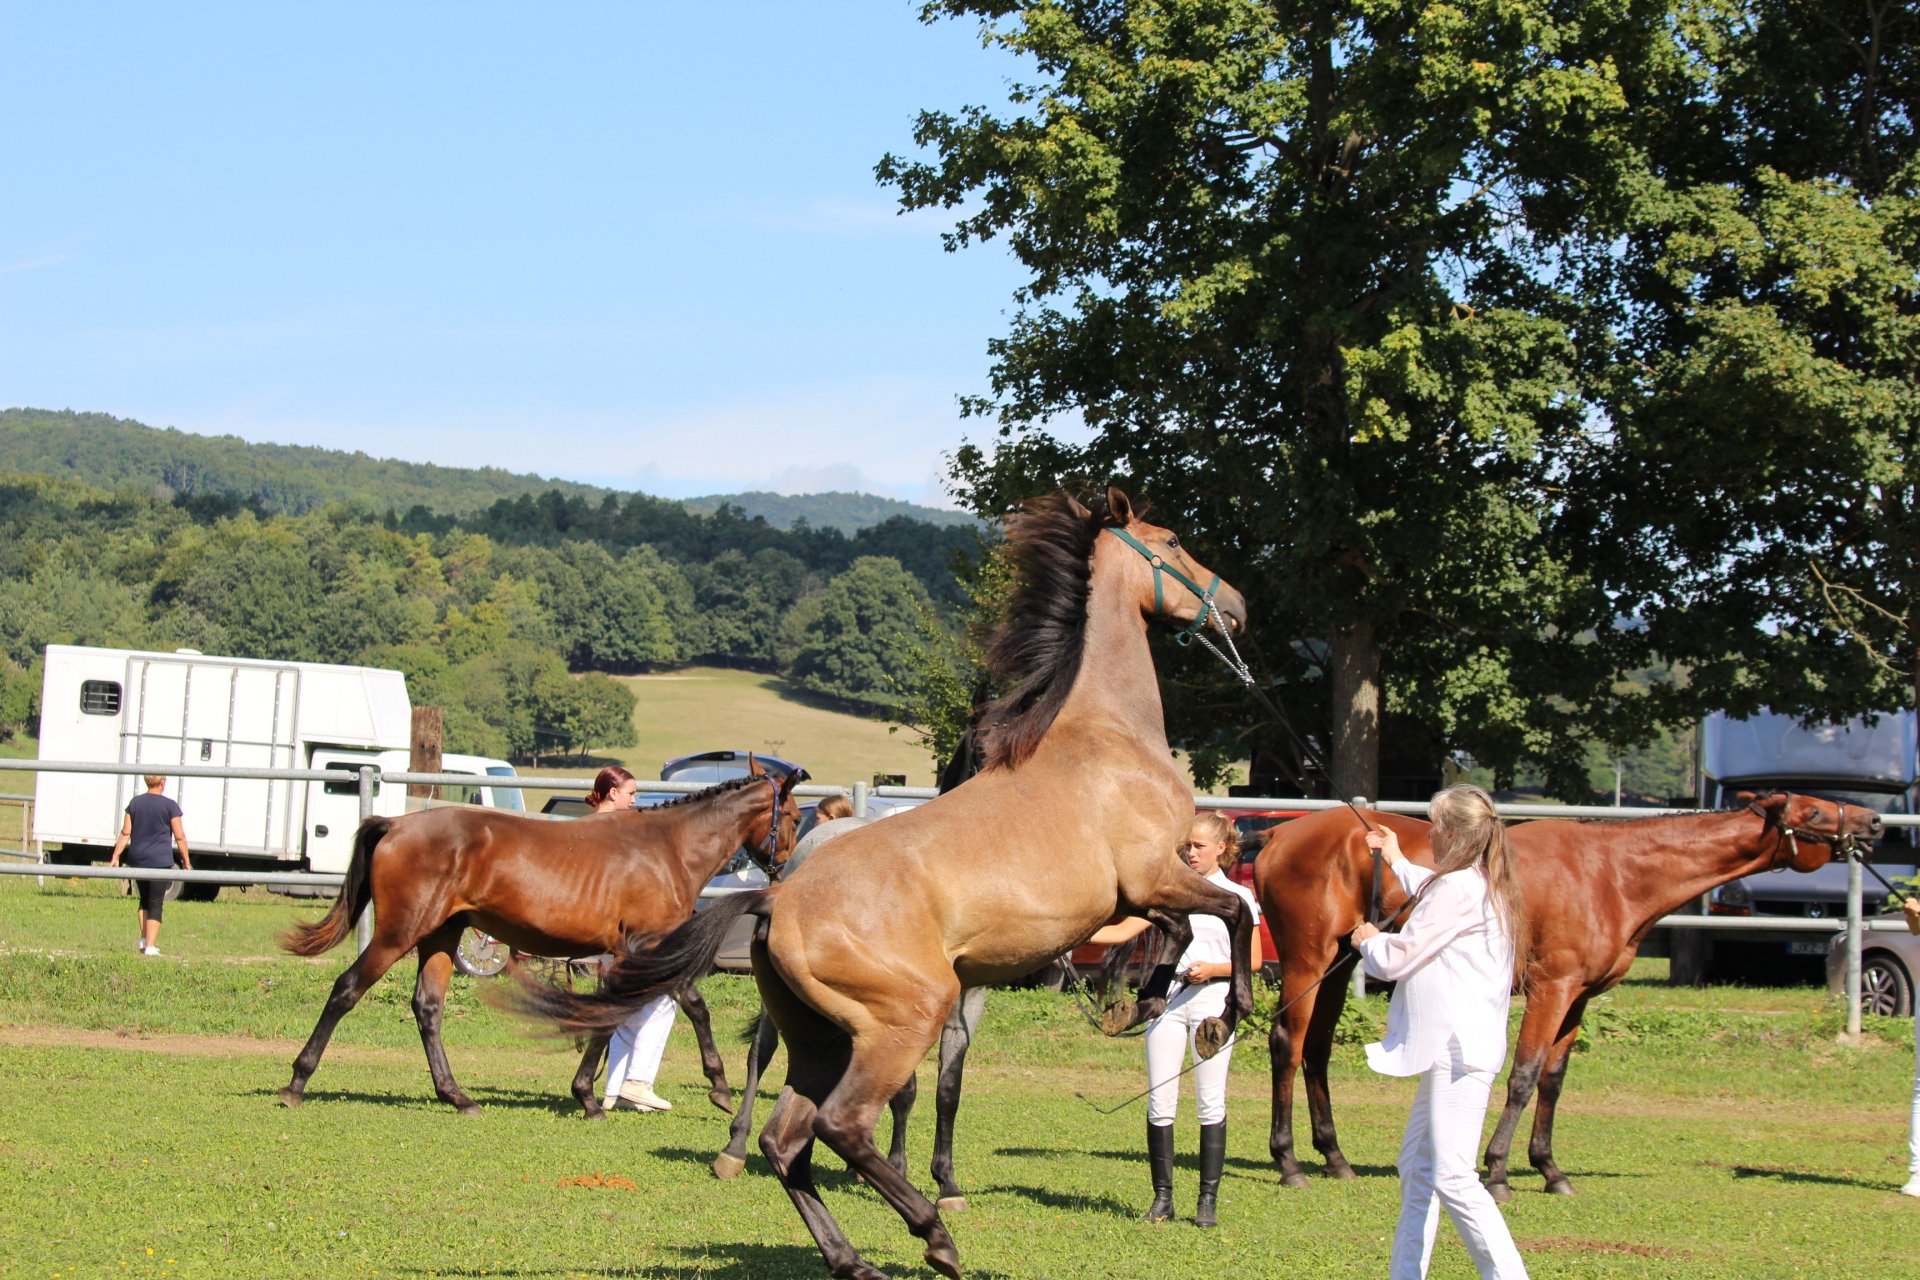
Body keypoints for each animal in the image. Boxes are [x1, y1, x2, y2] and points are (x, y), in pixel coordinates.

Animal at [278, 767, 802, 1113]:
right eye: (796, 817)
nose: (786, 872)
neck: (668, 848)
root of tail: (396, 824)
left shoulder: (623, 954)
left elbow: (607, 1015)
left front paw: (587, 1095)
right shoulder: (648, 945)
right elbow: (692, 1005)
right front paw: (719, 1087)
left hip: (440, 937)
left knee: (427, 1008)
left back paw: (457, 1096)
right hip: (398, 933)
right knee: (347, 990)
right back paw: (296, 1084)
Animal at [514, 487, 1259, 1280]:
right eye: (1173, 541)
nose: (1235, 605)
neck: (1107, 735)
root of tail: (776, 898)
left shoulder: (1139, 896)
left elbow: (1181, 932)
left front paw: (1143, 1002)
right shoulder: (1157, 875)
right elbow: (1231, 917)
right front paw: (1223, 1012)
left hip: (821, 1039)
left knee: (787, 1139)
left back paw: (852, 1257)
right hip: (901, 1022)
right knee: (840, 1125)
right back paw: (933, 1236)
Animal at [1251, 794, 1881, 1197]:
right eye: (1813, 811)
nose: (1873, 822)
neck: (1612, 871)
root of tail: (1280, 831)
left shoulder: (1579, 998)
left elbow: (1553, 1080)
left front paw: (1551, 1170)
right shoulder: (1552, 988)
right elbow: (1524, 1075)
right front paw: (1498, 1172)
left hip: (1340, 965)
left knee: (1317, 1051)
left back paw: (1335, 1159)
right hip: (1308, 961)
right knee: (1288, 1043)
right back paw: (1288, 1162)